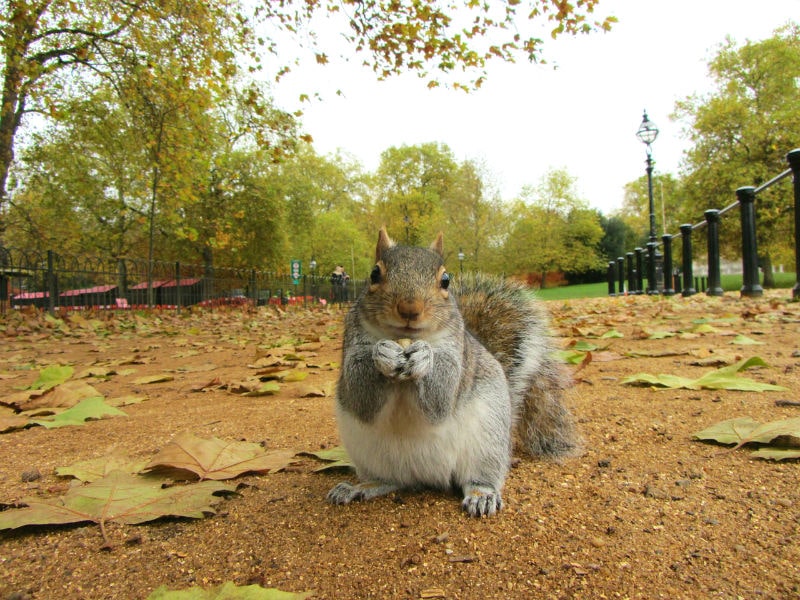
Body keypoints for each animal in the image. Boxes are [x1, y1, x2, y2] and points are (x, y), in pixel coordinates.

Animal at [326, 227, 580, 516]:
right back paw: (360, 487)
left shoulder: (456, 354)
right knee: (390, 480)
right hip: (368, 453)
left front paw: (425, 357)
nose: (409, 309)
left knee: (479, 477)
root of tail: (426, 476)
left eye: (446, 280)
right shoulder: (352, 343)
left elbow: (441, 397)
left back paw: (482, 494)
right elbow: (361, 397)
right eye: (374, 274)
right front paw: (383, 353)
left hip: (488, 442)